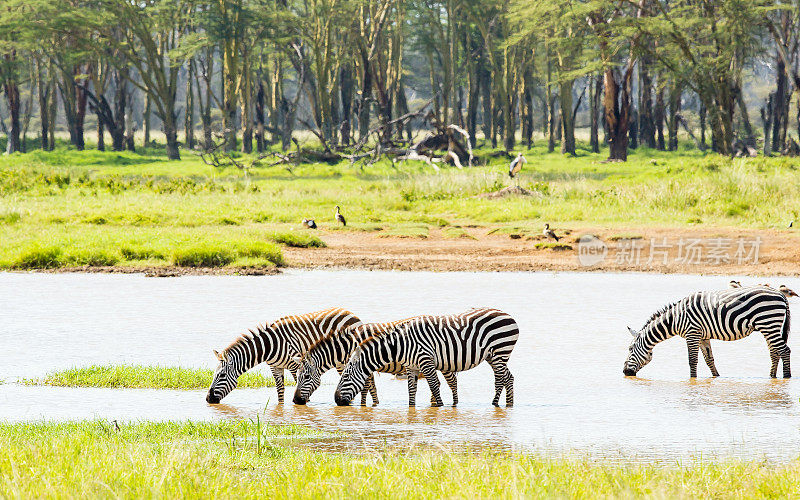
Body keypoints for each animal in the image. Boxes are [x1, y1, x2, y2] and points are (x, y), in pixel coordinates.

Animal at [205, 306, 360, 404]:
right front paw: (281, 407)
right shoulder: (275, 367)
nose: (208, 399)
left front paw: (303, 403)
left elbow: (298, 384)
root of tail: (349, 312)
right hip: (339, 361)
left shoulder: (295, 365)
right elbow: (280, 390)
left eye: (221, 375)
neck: (268, 347)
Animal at [292, 320, 456, 406]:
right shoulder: (365, 366)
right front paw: (374, 404)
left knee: (451, 382)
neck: (350, 345)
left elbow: (366, 388)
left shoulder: (363, 365)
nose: (295, 400)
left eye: (305, 377)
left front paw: (364, 405)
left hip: (444, 362)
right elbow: (372, 388)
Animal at [332, 306, 516, 408]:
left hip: (500, 351)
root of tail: (507, 315)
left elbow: (434, 386)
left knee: (502, 378)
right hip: (492, 356)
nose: (336, 400)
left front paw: (439, 406)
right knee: (507, 377)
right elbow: (411, 389)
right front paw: (411, 408)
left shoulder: (426, 360)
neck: (400, 345)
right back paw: (507, 404)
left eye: (345, 377)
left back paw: (497, 403)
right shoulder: (411, 366)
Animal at [620, 288, 792, 376]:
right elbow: (709, 359)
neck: (675, 319)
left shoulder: (692, 333)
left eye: (630, 348)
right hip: (769, 327)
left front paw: (692, 380)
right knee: (774, 352)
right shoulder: (703, 336)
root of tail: (780, 294)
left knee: (785, 350)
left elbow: (692, 360)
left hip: (769, 323)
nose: (625, 372)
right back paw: (772, 377)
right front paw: (716, 377)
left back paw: (787, 376)